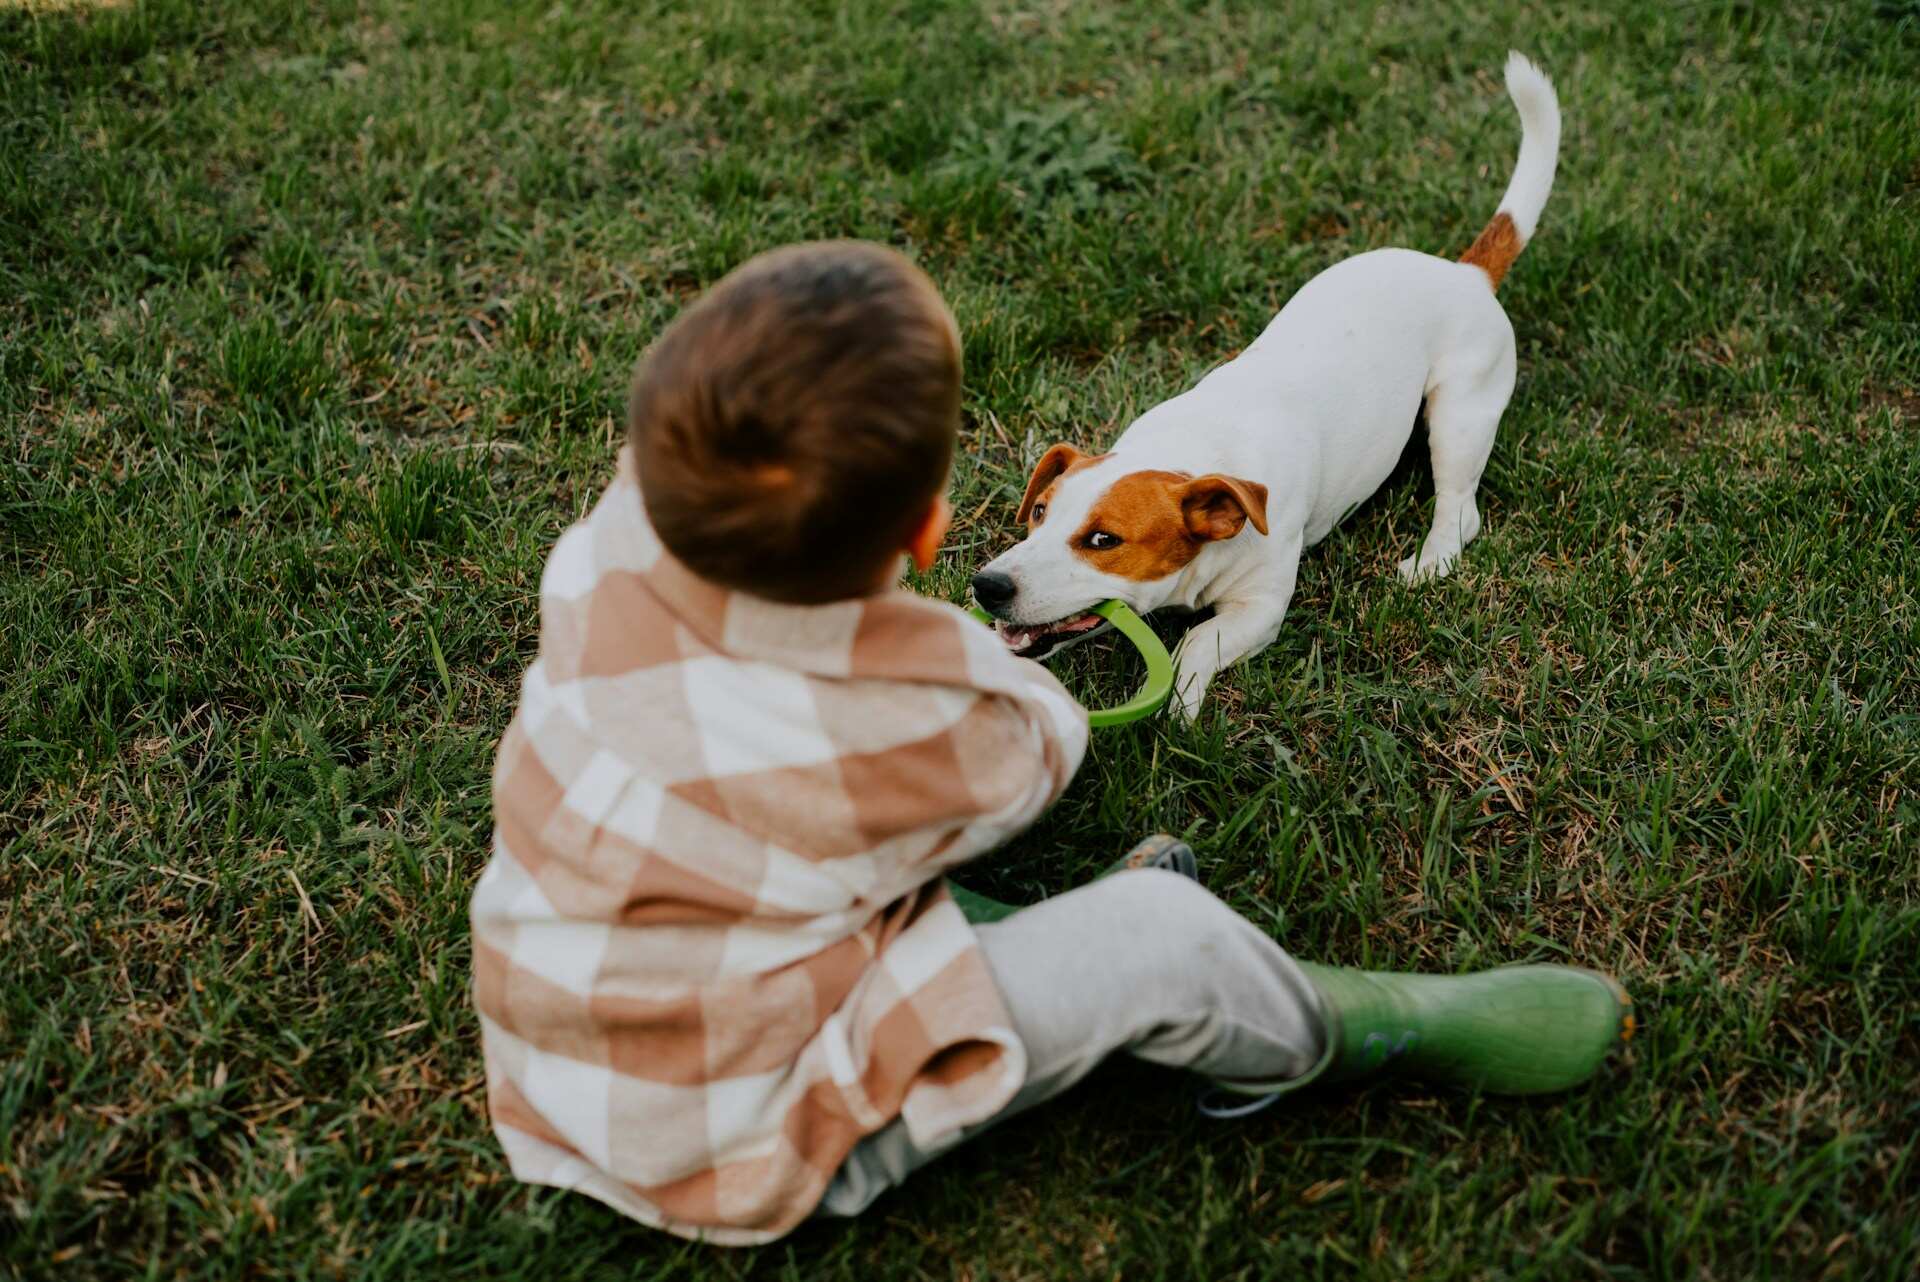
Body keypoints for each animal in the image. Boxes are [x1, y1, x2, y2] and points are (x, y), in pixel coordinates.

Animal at [975, 50, 1559, 721]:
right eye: (1040, 512)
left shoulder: (1260, 607)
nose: (987, 584)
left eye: (1103, 539)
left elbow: (1198, 639)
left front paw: (1181, 708)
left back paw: (1430, 561)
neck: (1190, 451)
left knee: (1459, 508)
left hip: (1460, 416)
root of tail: (1466, 273)